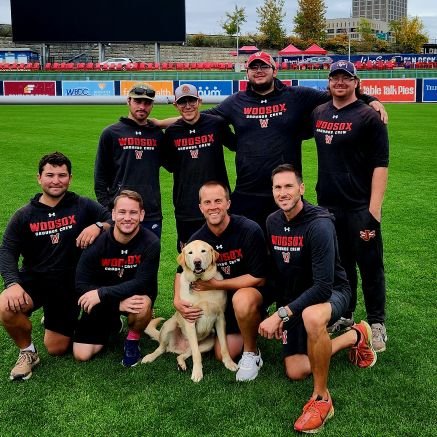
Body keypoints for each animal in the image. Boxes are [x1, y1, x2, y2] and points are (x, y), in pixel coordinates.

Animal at [141, 240, 237, 380]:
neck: (201, 286)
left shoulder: (220, 318)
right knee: (162, 348)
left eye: (203, 251)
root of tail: (177, 348)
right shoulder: (190, 319)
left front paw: (229, 363)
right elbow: (197, 355)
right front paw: (197, 373)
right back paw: (150, 357)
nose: (197, 262)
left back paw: (181, 363)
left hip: (209, 342)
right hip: (169, 326)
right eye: (190, 253)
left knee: (183, 354)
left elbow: (224, 346)